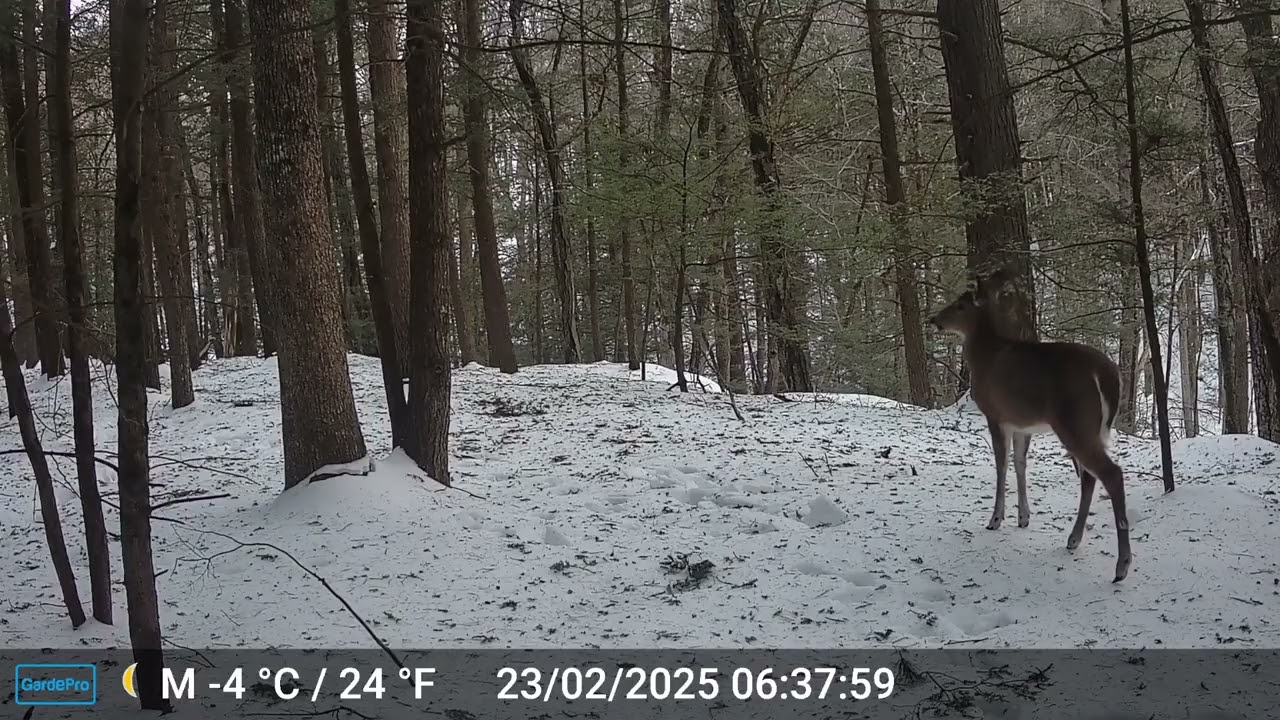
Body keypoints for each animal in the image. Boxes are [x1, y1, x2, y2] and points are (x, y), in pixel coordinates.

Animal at [929, 271, 1132, 583]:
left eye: (960, 305)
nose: (934, 319)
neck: (984, 355)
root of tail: (1107, 375)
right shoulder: (1022, 425)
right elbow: (1020, 462)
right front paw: (1023, 517)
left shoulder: (995, 414)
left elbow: (1001, 464)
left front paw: (995, 519)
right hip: (1093, 428)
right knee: (1089, 477)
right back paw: (1073, 539)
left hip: (1075, 421)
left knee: (1110, 473)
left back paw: (1121, 566)